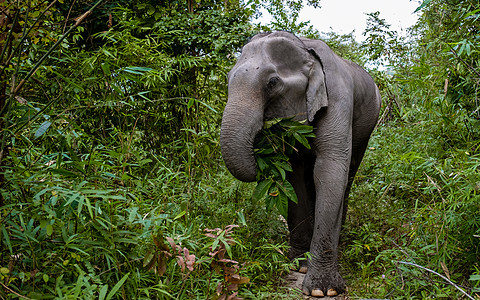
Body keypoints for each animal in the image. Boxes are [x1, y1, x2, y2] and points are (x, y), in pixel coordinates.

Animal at [219, 31, 380, 298]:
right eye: (228, 79)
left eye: (273, 82)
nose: (262, 142)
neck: (305, 50)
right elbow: (294, 176)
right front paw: (299, 265)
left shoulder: (338, 99)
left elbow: (329, 170)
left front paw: (323, 290)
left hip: (367, 127)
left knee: (349, 174)